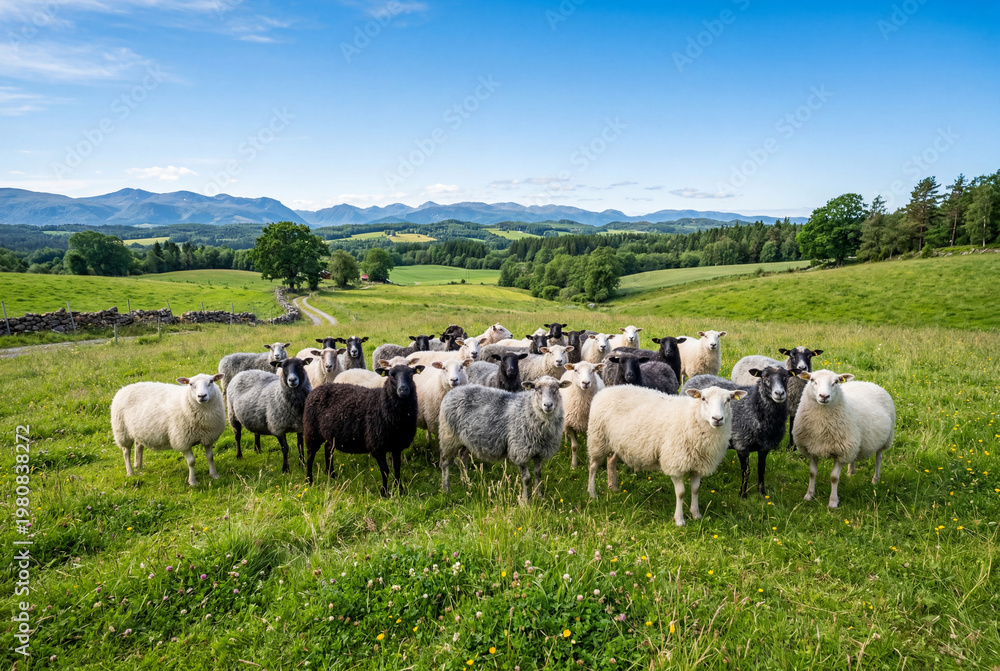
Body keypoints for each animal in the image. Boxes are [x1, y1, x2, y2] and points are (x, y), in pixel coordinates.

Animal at [303, 363, 424, 493]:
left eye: (411, 374)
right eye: (391, 375)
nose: (403, 390)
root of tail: (316, 389)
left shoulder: (397, 445)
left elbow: (397, 468)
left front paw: (399, 490)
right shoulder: (377, 446)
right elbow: (385, 471)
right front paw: (384, 492)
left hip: (332, 434)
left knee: (328, 449)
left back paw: (332, 475)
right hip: (312, 431)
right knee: (310, 456)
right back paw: (309, 481)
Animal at [438, 375, 572, 504]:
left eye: (556, 389)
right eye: (536, 388)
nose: (548, 405)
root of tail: (454, 390)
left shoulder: (539, 453)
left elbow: (538, 474)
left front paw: (540, 497)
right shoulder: (520, 452)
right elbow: (527, 479)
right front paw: (527, 502)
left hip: (467, 439)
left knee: (462, 458)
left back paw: (466, 482)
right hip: (448, 437)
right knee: (444, 462)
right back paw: (446, 489)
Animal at [586, 385, 747, 526]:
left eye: (728, 400)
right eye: (703, 399)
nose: (717, 419)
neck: (692, 417)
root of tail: (605, 390)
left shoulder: (698, 465)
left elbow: (695, 490)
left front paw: (696, 515)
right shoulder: (675, 463)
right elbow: (681, 493)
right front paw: (679, 520)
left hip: (617, 443)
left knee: (611, 461)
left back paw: (613, 487)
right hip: (598, 438)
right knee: (593, 466)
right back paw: (592, 493)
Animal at [682, 366, 793, 498]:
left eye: (786, 377)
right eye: (764, 376)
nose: (779, 393)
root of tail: (697, 377)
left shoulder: (765, 447)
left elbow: (761, 469)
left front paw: (762, 492)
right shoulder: (742, 444)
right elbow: (746, 471)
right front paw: (743, 494)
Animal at [792, 370, 895, 508]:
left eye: (835, 382)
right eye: (812, 380)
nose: (824, 396)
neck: (821, 427)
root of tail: (867, 382)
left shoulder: (841, 452)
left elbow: (834, 478)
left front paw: (833, 502)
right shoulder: (812, 449)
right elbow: (812, 473)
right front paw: (809, 495)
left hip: (885, 439)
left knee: (878, 459)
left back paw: (875, 479)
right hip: (854, 442)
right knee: (854, 456)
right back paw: (851, 472)